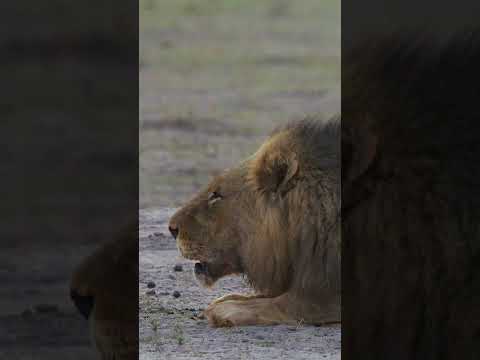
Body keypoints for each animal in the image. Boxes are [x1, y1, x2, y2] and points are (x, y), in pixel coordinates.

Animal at [169, 119, 342, 328]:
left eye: (216, 195)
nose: (171, 229)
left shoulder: (325, 291)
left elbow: (287, 303)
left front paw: (228, 309)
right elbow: (264, 296)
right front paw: (230, 299)